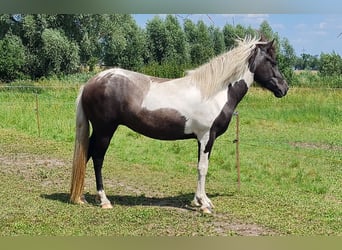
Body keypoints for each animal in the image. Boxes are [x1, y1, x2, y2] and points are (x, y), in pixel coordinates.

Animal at [69, 36, 288, 213]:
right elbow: (203, 167)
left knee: (86, 154)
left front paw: (198, 200)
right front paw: (204, 204)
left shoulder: (200, 139)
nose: (284, 88)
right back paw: (104, 200)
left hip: (99, 131)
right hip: (105, 130)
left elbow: (199, 166)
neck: (215, 91)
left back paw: (80, 197)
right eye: (272, 61)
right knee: (97, 158)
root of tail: (91, 82)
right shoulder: (207, 136)